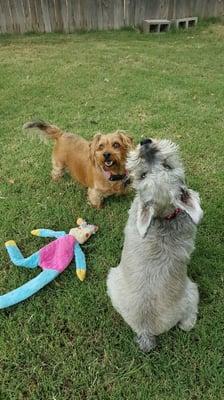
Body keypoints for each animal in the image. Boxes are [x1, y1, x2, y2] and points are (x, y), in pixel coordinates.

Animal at [107, 139, 203, 352]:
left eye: (167, 166)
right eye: (143, 175)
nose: (145, 144)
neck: (164, 216)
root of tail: (146, 330)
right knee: (187, 324)